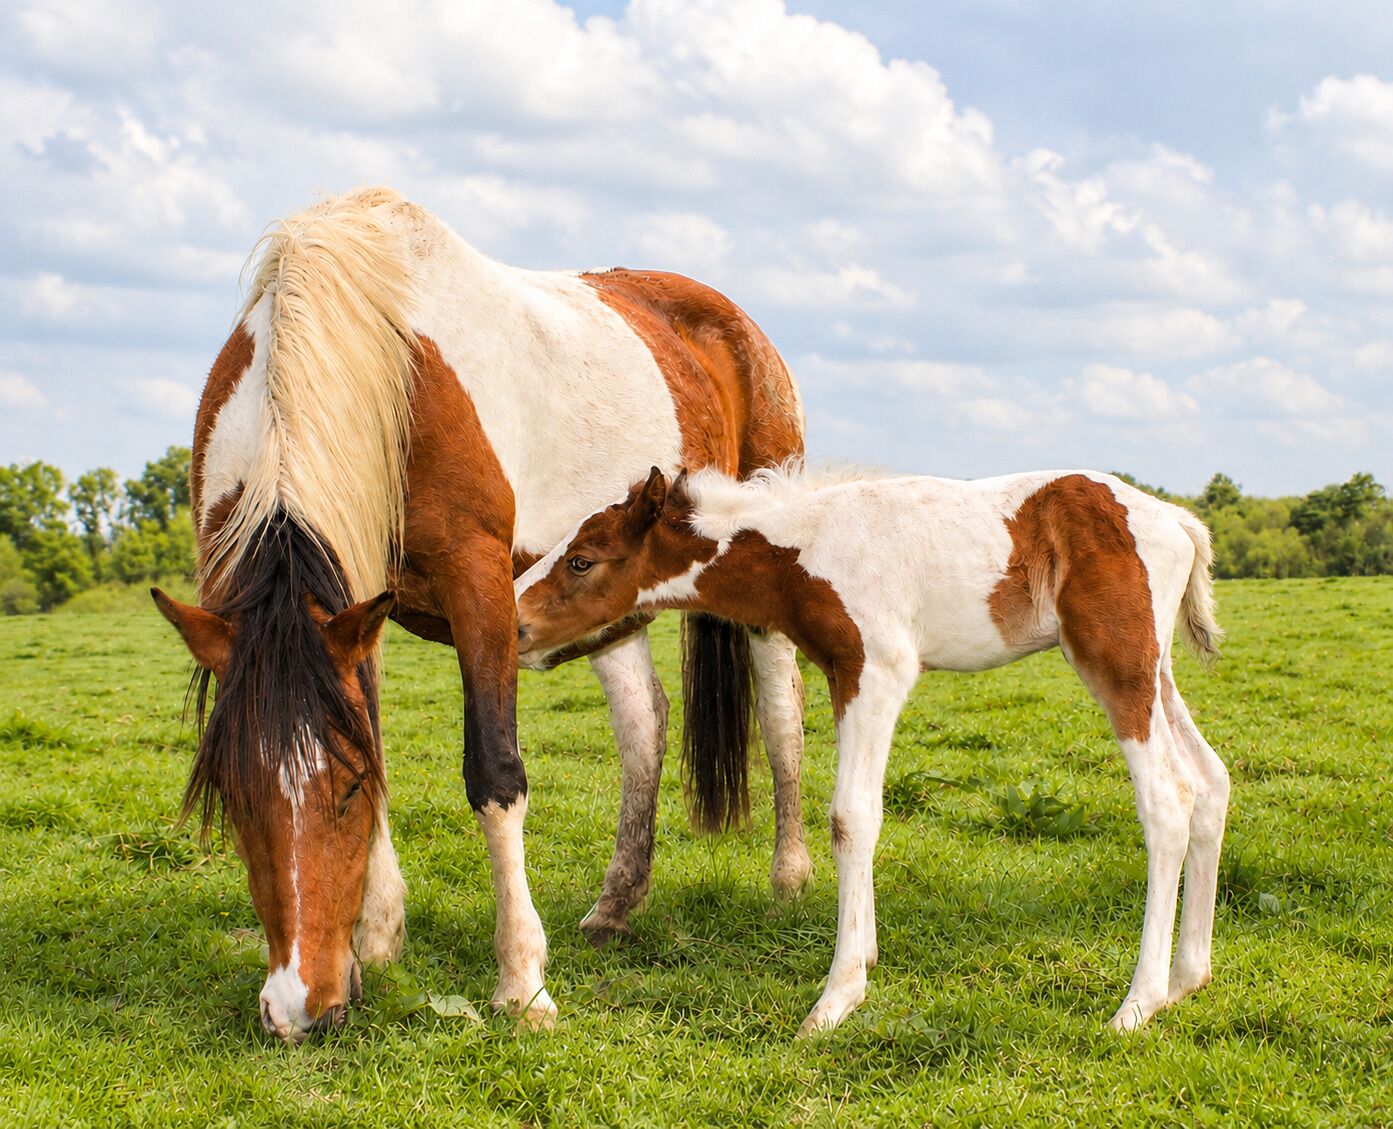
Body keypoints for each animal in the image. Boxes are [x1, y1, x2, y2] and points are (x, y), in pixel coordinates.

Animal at [151, 188, 810, 1042]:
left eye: (345, 793)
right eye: (230, 797)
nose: (301, 1008)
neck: (375, 364)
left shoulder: (482, 585)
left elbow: (495, 773)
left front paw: (522, 985)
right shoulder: (360, 602)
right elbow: (372, 729)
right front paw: (376, 940)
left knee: (781, 711)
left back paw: (789, 878)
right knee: (644, 721)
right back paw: (615, 904)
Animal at [514, 464, 1230, 1035]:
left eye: (582, 559)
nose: (514, 625)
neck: (804, 547)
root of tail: (1176, 521)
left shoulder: (877, 670)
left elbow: (852, 817)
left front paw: (836, 999)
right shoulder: (843, 674)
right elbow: (864, 814)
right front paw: (865, 956)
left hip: (1115, 662)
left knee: (1169, 800)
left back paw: (1138, 1005)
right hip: (1156, 669)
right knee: (1212, 781)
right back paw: (1187, 978)